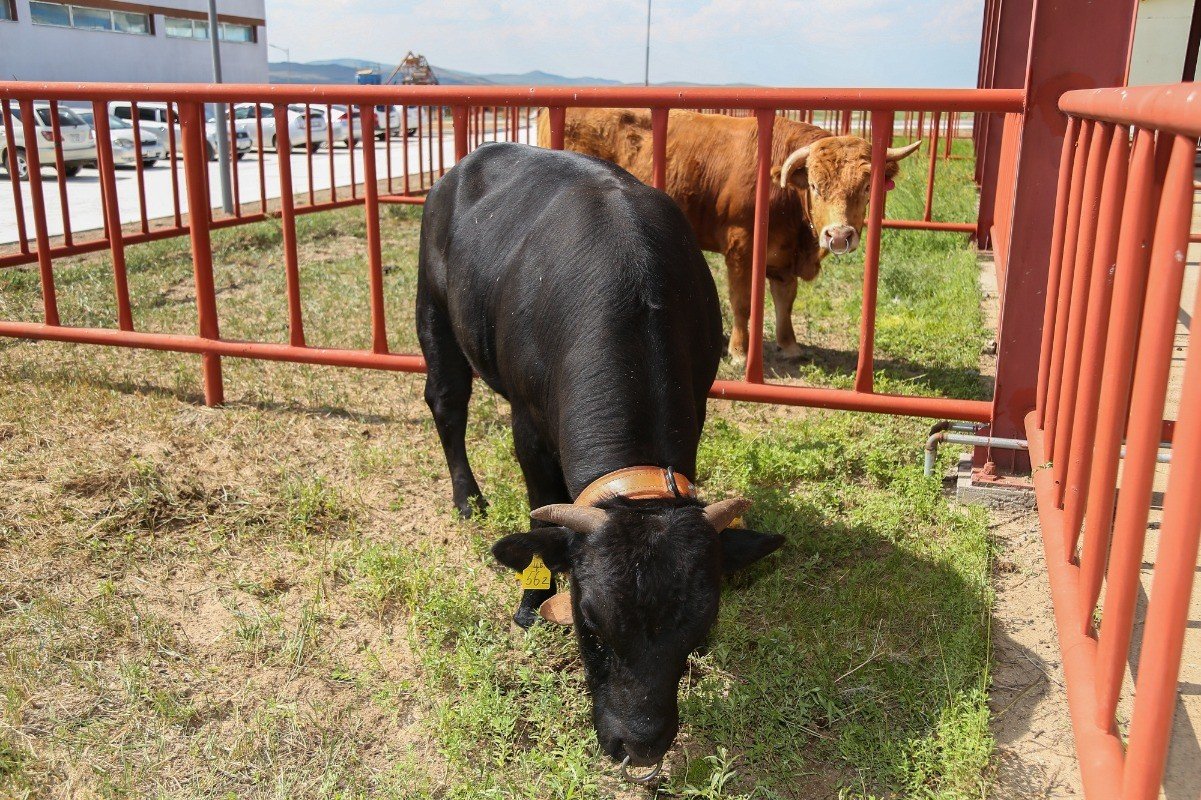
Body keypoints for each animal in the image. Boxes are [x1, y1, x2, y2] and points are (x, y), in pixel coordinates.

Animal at [417, 141, 784, 772]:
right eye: (589, 621)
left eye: (700, 627)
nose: (638, 745)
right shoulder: (529, 426)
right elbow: (542, 518)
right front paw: (532, 602)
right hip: (434, 315)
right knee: (446, 402)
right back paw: (468, 498)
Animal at [538, 108, 922, 362]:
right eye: (814, 185)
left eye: (867, 187)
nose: (839, 235)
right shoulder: (741, 248)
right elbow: (742, 302)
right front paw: (739, 351)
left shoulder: (782, 256)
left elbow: (785, 300)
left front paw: (789, 345)